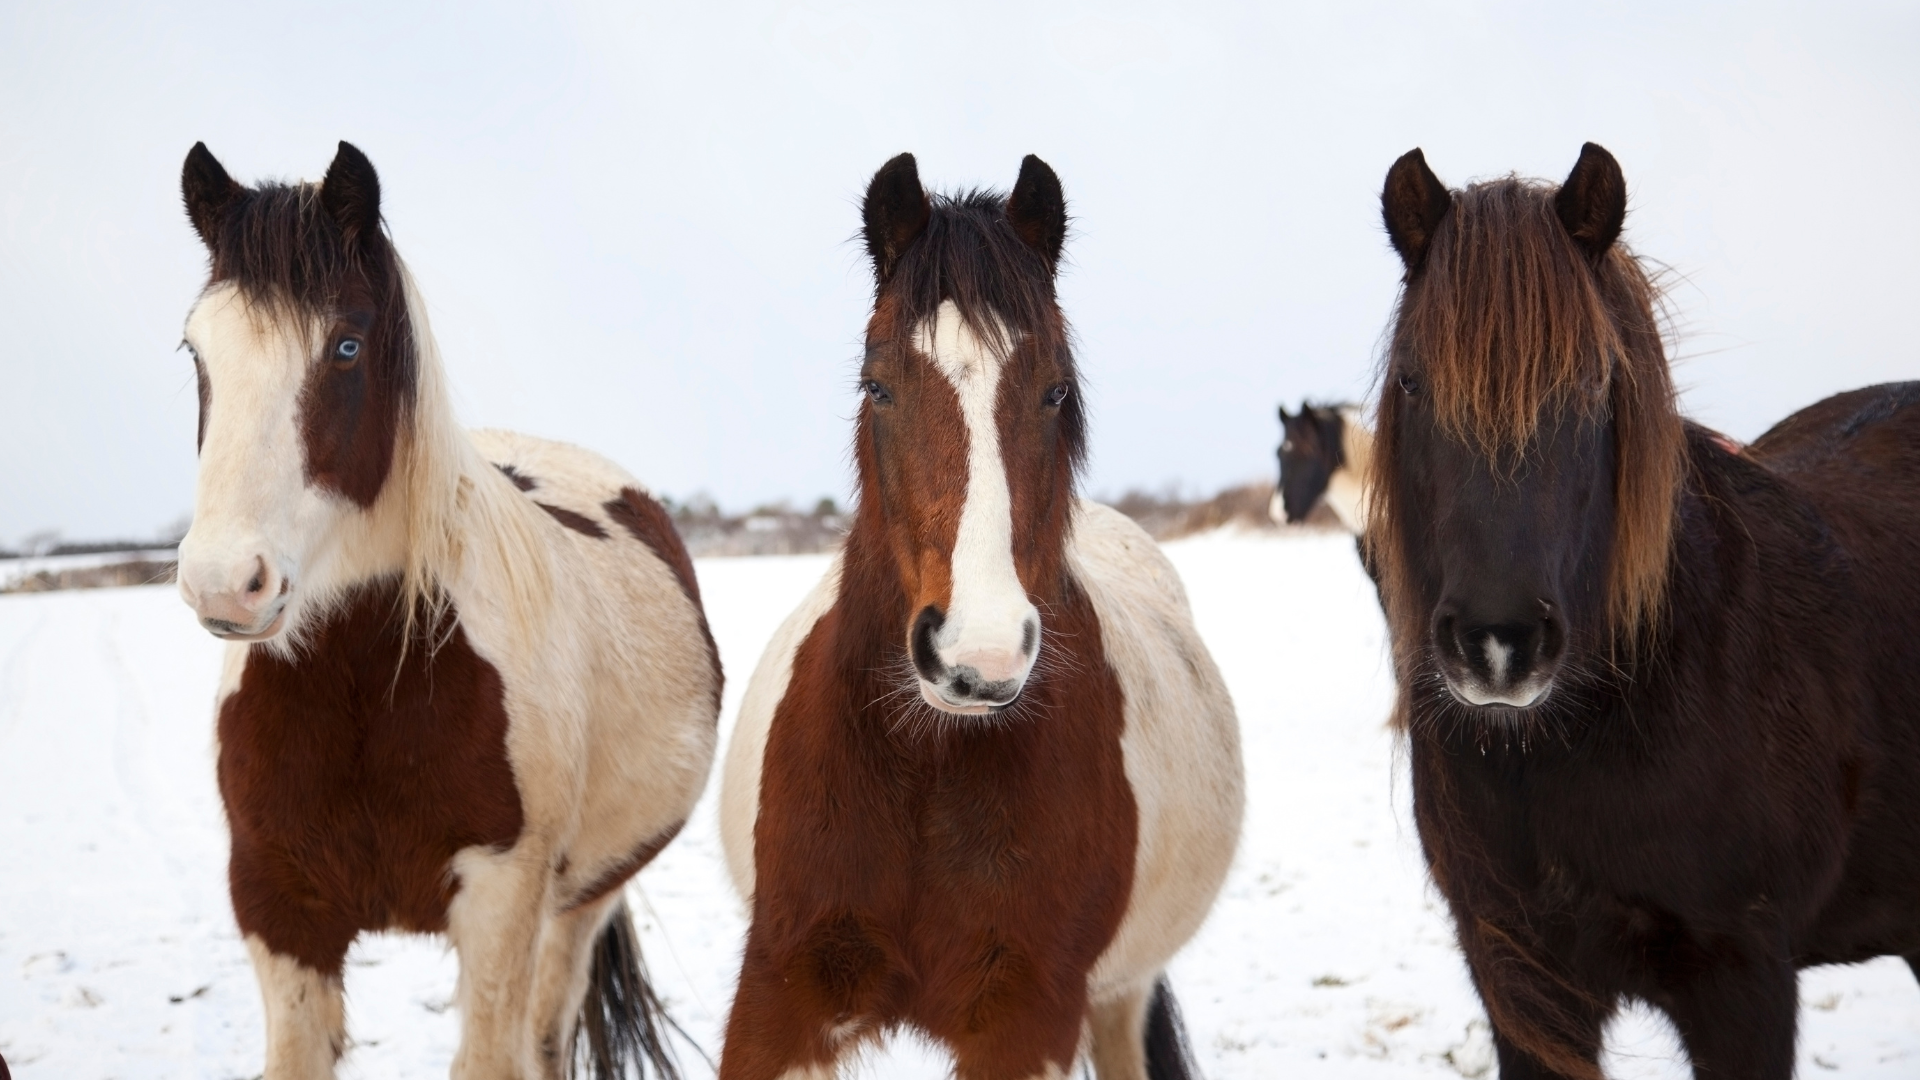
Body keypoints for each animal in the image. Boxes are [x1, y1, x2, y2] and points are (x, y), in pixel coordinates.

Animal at [176, 143, 718, 1076]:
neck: (363, 684)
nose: (222, 582)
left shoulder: (501, 903)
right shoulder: (278, 911)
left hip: (581, 908)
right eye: (196, 352)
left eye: (347, 345)